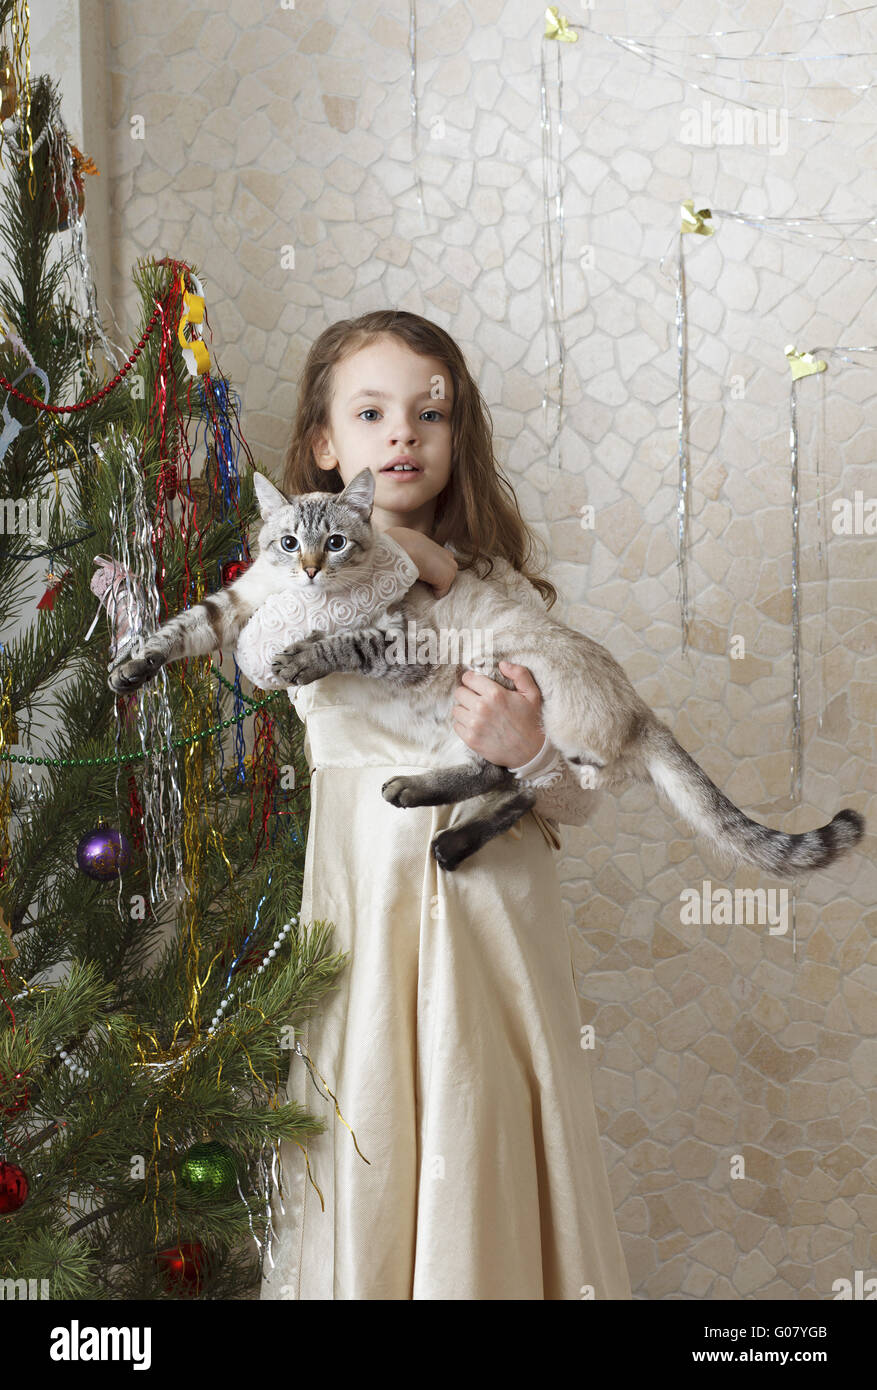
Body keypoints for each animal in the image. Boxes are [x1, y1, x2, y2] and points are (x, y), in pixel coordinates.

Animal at [108, 469, 867, 878]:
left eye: (337, 542)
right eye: (289, 542)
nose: (311, 570)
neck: (298, 598)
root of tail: (640, 709)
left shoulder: (399, 641)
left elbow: (340, 640)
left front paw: (299, 656)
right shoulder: (237, 606)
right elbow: (177, 630)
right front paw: (127, 670)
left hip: (502, 682)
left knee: (525, 779)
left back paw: (428, 814)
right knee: (510, 785)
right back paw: (436, 825)